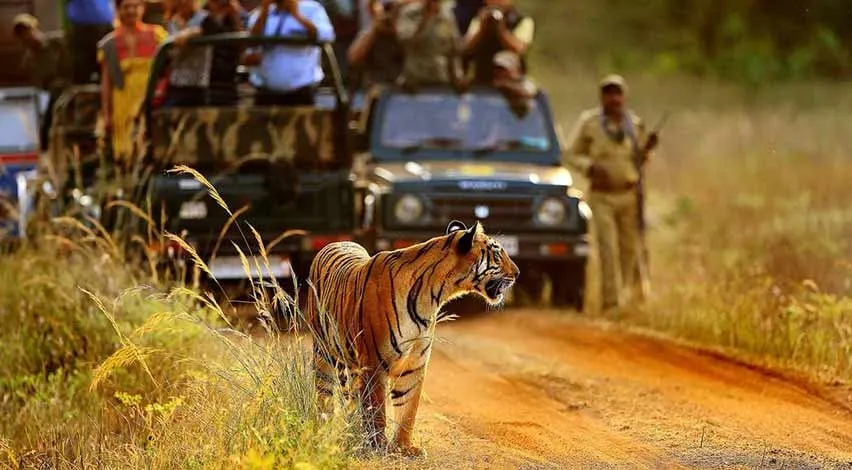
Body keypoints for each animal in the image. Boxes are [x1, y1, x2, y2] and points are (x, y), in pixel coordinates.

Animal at [304, 220, 520, 456]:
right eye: (497, 254)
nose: (517, 273)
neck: (434, 296)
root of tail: (335, 242)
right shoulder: (374, 363)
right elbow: (377, 409)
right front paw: (379, 445)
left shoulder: (414, 363)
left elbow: (408, 408)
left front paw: (404, 447)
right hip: (323, 353)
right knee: (324, 394)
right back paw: (323, 429)